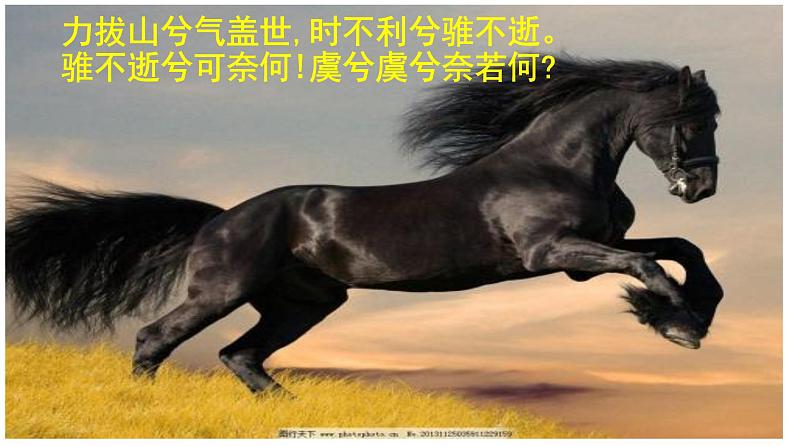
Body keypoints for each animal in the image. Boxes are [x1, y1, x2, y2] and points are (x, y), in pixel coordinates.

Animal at [6, 57, 724, 395]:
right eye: (692, 120)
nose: (702, 187)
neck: (557, 164)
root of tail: (220, 218)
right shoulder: (552, 253)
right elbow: (651, 265)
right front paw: (679, 325)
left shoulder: (587, 252)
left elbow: (683, 249)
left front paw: (690, 314)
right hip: (224, 290)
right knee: (156, 338)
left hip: (304, 302)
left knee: (241, 355)